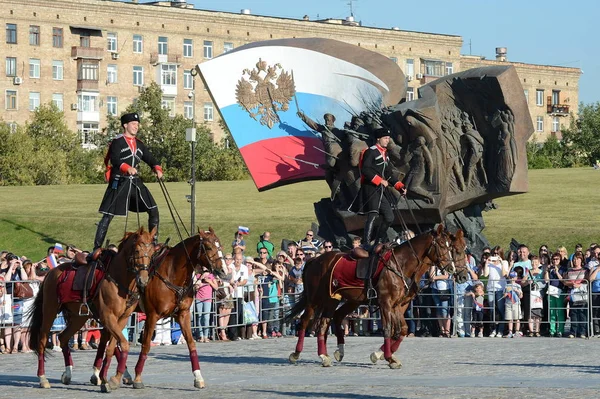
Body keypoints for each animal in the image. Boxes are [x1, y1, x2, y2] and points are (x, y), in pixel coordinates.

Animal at [28, 228, 156, 390]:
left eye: (152, 252)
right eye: (138, 250)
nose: (143, 279)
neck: (118, 279)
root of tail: (51, 273)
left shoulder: (121, 319)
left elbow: (112, 346)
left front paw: (107, 377)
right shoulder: (108, 317)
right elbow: (121, 344)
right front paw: (110, 378)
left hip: (78, 318)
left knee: (63, 337)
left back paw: (68, 373)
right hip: (50, 311)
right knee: (43, 340)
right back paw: (43, 378)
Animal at [91, 227, 225, 392]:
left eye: (220, 245)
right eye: (208, 247)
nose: (223, 270)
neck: (172, 274)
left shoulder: (183, 315)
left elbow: (191, 343)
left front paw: (198, 377)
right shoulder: (152, 316)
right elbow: (146, 345)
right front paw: (138, 377)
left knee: (107, 338)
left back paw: (104, 374)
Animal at [286, 225, 464, 368]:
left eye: (453, 248)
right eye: (443, 245)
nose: (453, 269)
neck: (401, 264)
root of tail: (315, 260)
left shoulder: (400, 305)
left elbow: (402, 329)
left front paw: (384, 354)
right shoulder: (386, 303)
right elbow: (388, 328)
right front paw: (388, 357)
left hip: (338, 299)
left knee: (326, 322)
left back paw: (327, 355)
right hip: (315, 298)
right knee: (305, 321)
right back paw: (296, 354)